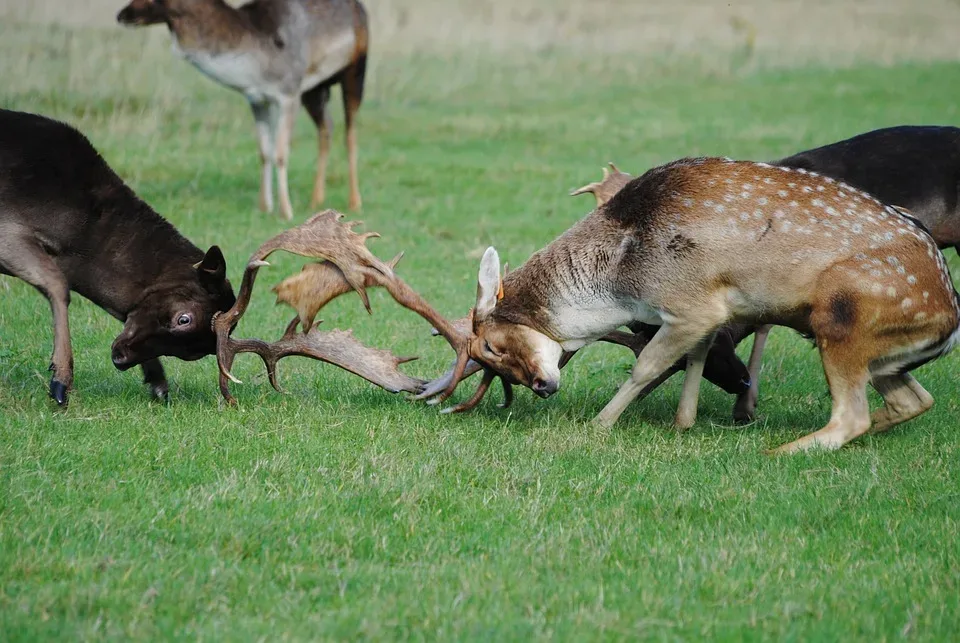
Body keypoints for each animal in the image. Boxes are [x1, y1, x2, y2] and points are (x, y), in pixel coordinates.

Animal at [0, 108, 236, 406]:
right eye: (184, 319)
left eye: (193, 353)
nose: (120, 358)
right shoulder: (7, 230)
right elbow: (57, 283)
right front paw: (61, 381)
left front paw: (158, 382)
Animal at [113, 0, 368, 219]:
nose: (121, 15)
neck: (254, 62)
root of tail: (359, 7)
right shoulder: (257, 99)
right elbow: (264, 152)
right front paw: (264, 207)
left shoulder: (289, 94)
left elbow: (280, 153)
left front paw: (286, 211)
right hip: (315, 89)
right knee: (327, 127)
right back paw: (317, 200)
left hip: (354, 71)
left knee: (350, 132)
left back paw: (355, 202)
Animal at [442, 157, 960, 452]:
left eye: (493, 347)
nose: (543, 387)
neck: (620, 279)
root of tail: (949, 323)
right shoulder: (710, 313)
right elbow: (696, 355)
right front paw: (683, 422)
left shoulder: (690, 301)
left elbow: (647, 366)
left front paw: (599, 424)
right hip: (887, 356)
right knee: (915, 399)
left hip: (841, 316)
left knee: (851, 416)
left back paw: (778, 451)